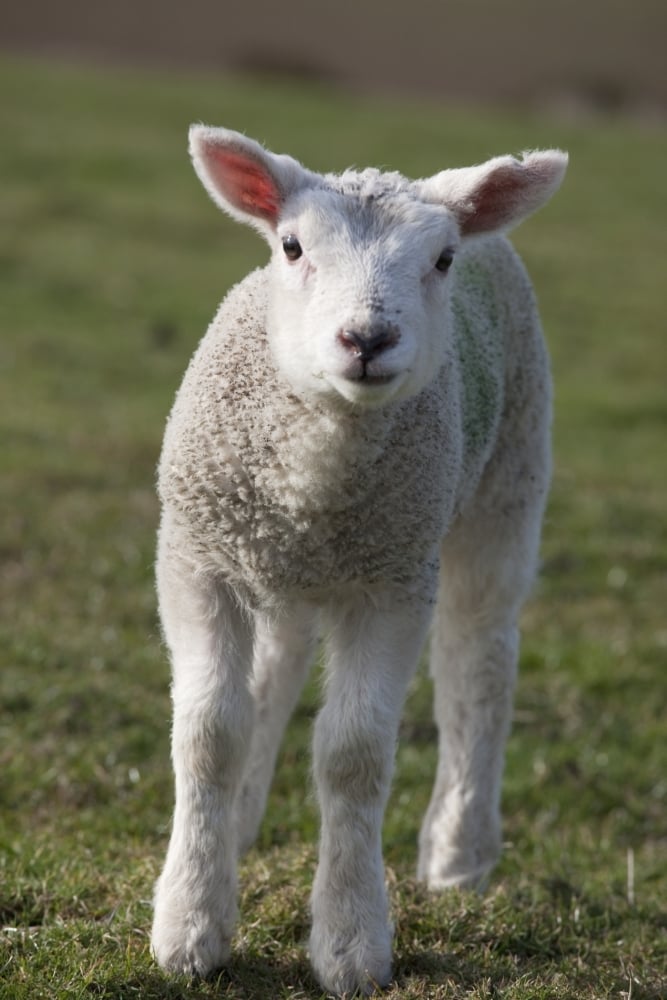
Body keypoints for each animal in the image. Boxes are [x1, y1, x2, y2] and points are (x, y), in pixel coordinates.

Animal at [150, 125, 567, 997]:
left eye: (441, 259)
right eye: (291, 246)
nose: (367, 340)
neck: (317, 472)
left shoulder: (390, 582)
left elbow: (352, 755)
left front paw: (349, 941)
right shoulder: (198, 558)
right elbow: (210, 731)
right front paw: (191, 925)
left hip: (506, 480)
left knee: (479, 663)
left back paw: (457, 853)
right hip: (281, 560)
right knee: (273, 671)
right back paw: (241, 823)